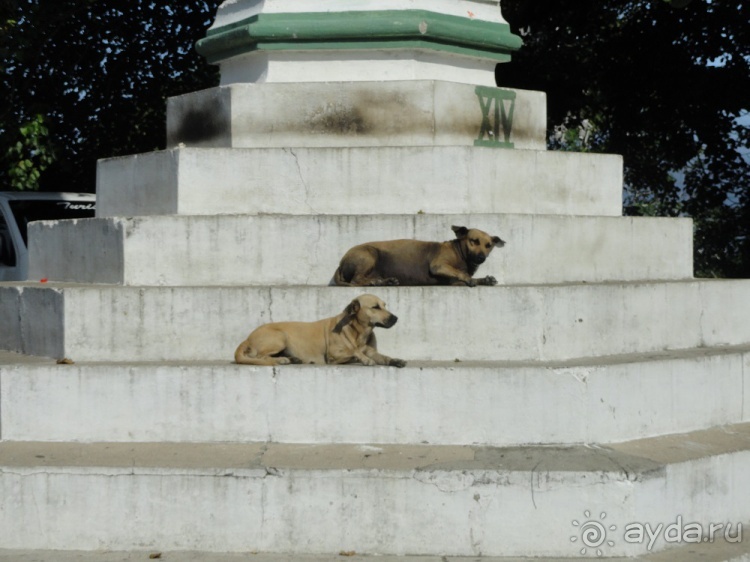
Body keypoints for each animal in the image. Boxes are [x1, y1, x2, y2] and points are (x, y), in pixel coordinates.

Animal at [236, 294, 408, 368]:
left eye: (384, 305)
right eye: (375, 307)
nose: (396, 318)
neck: (358, 332)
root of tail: (247, 339)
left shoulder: (371, 351)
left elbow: (383, 356)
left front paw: (394, 360)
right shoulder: (334, 354)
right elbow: (354, 351)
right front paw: (363, 359)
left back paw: (292, 359)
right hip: (280, 337)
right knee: (261, 357)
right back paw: (281, 360)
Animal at [334, 223, 506, 286]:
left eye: (488, 246)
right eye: (474, 241)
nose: (481, 258)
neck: (460, 253)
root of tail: (340, 264)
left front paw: (484, 279)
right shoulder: (439, 266)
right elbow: (460, 274)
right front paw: (470, 279)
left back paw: (384, 281)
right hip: (370, 254)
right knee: (357, 280)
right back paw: (375, 282)